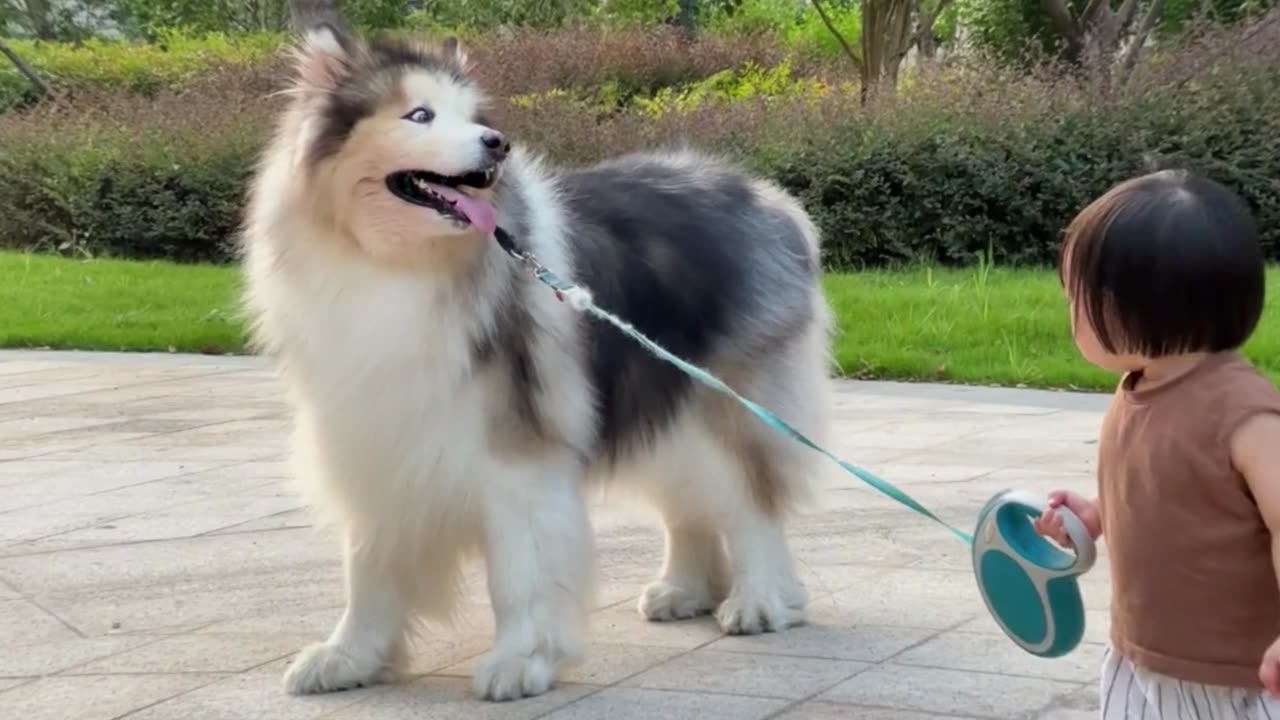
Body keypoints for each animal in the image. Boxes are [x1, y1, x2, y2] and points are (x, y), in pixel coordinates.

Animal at [240, 22, 834, 702]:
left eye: (475, 118)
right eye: (420, 115)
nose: (497, 143)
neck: (393, 267)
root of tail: (766, 197)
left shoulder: (515, 458)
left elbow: (518, 573)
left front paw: (521, 661)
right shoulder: (376, 440)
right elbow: (368, 569)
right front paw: (348, 658)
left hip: (722, 404)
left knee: (750, 503)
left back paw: (761, 601)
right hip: (660, 403)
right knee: (689, 504)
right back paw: (683, 591)